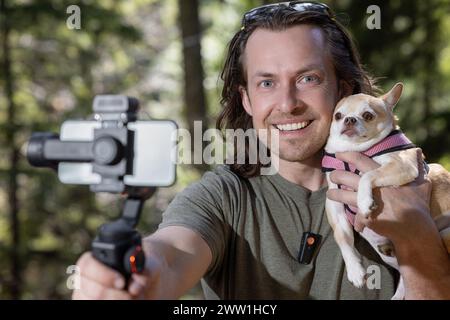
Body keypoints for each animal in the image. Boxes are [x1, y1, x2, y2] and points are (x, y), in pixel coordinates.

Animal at [322, 83, 450, 300]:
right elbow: (343, 239)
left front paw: (364, 202)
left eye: (368, 115)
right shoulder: (334, 205)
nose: (349, 119)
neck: (355, 150)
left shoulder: (401, 166)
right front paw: (354, 270)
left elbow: (368, 175)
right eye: (338, 116)